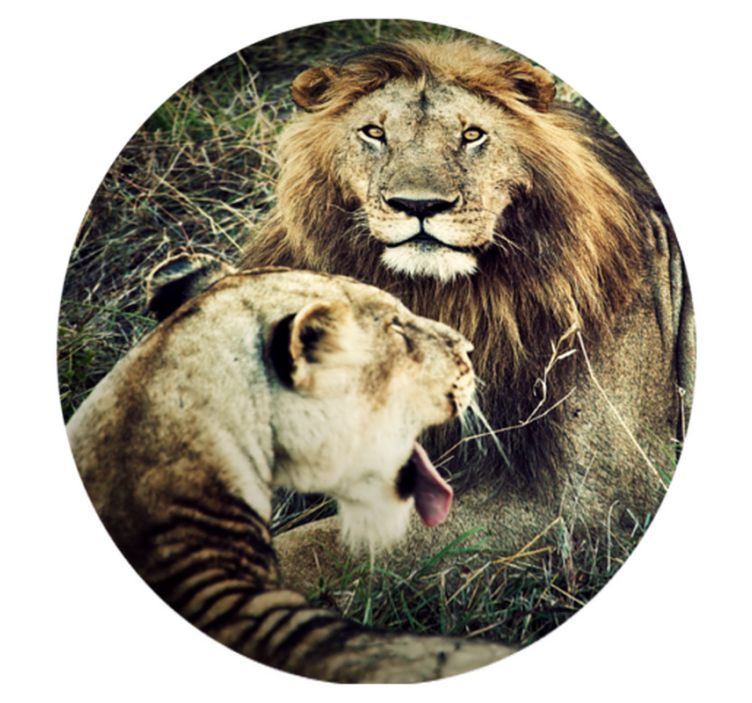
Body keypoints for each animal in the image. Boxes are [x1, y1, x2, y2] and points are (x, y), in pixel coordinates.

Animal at [239, 39, 696, 590]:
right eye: (374, 133)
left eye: (472, 135)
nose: (419, 204)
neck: (441, 297)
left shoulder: (599, 499)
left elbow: (318, 548)